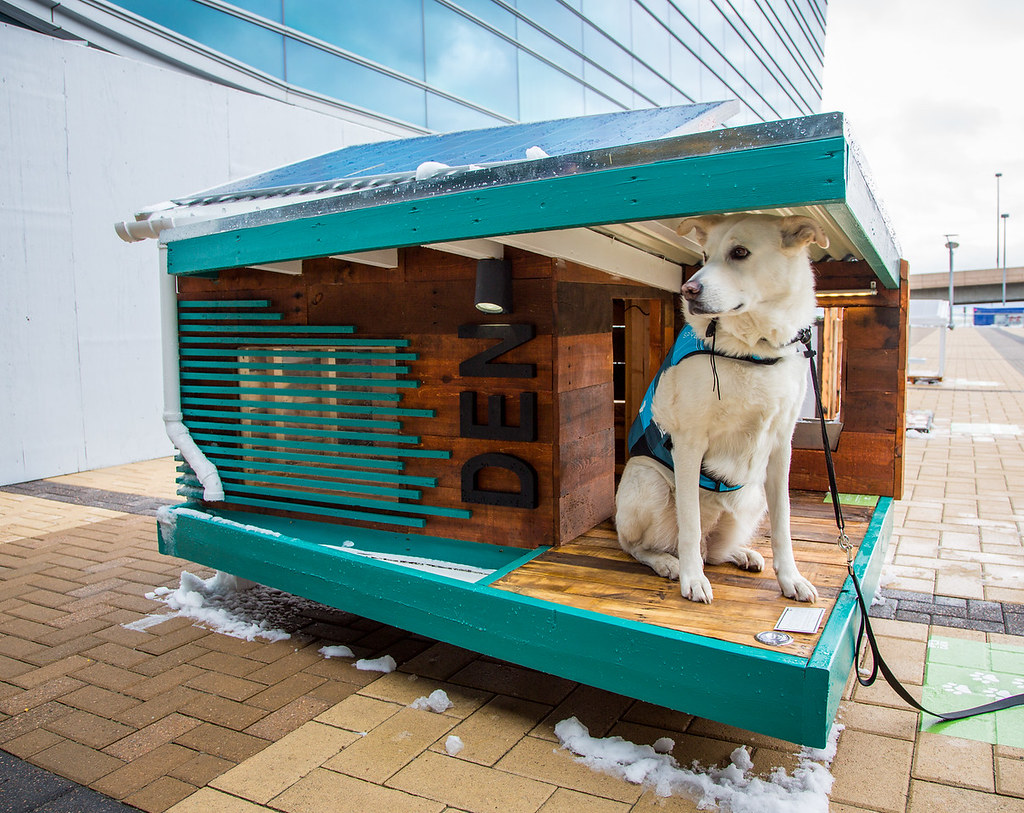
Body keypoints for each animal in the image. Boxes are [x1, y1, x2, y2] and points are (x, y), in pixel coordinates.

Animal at [614, 211, 823, 597]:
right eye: (704, 256)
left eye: (740, 252)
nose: (688, 290)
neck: (754, 350)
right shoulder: (690, 442)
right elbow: (690, 525)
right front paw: (692, 579)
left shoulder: (781, 446)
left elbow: (784, 523)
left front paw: (790, 578)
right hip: (647, 482)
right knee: (642, 545)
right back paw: (668, 562)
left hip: (752, 498)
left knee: (713, 551)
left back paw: (740, 553)